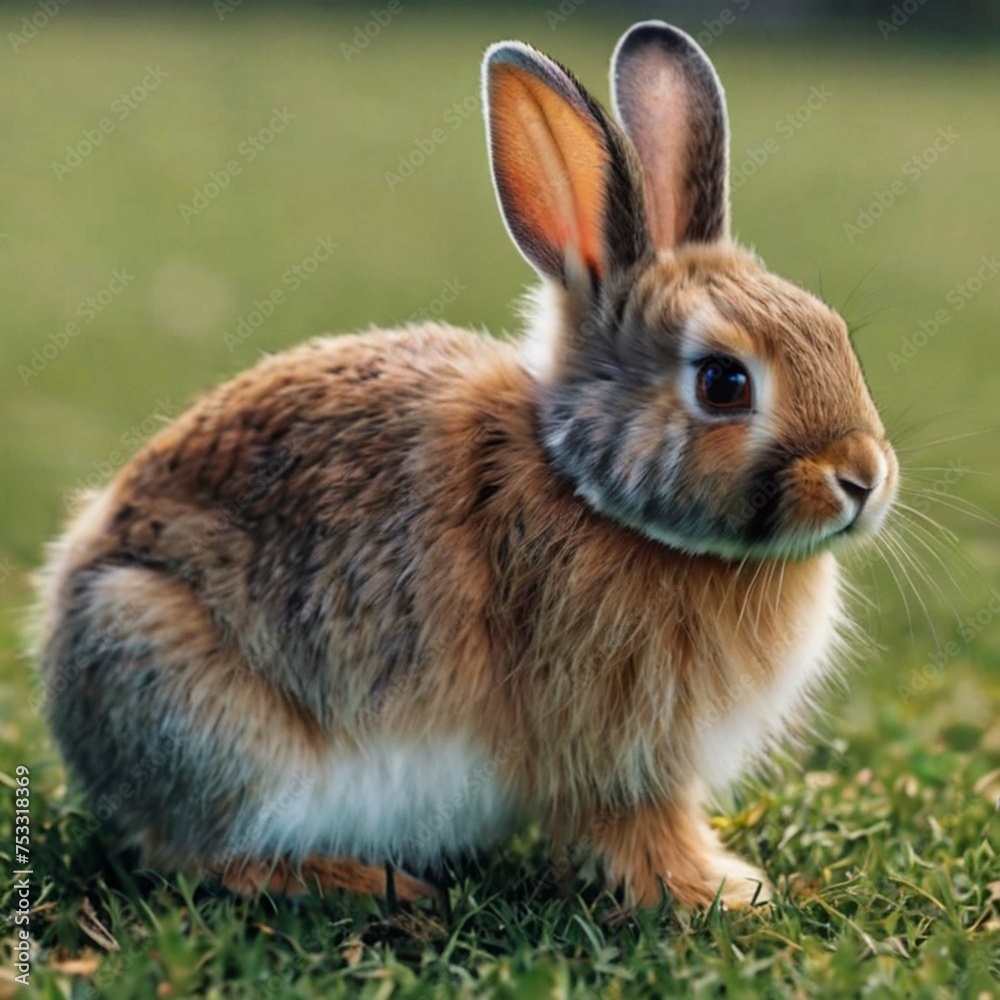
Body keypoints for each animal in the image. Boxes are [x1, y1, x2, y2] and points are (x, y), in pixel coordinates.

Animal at [34, 20, 898, 911]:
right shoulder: (617, 754)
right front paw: (717, 890)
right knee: (202, 855)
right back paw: (364, 881)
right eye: (723, 382)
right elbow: (640, 828)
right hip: (199, 703)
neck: (587, 490)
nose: (863, 479)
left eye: (836, 334)